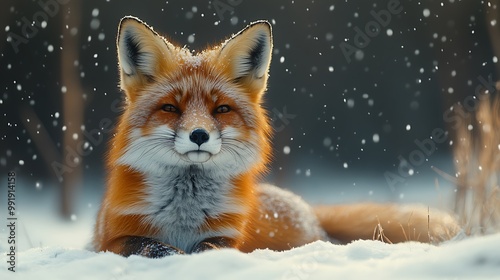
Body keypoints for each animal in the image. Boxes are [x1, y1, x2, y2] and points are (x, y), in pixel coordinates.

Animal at [92, 16, 458, 258]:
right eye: (170, 107)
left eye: (221, 109)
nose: (198, 134)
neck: (185, 212)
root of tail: (310, 211)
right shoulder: (112, 238)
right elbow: (149, 244)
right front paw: (172, 253)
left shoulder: (230, 237)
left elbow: (210, 247)